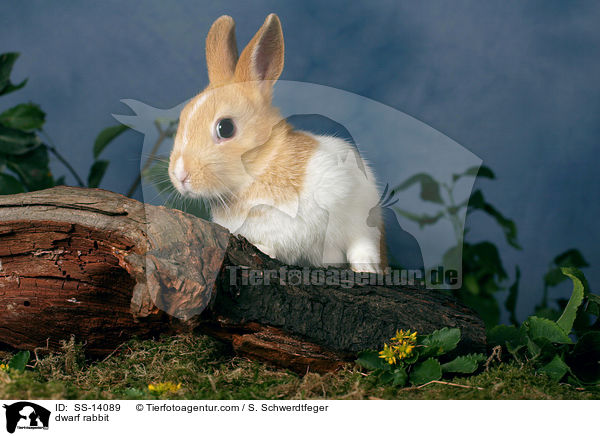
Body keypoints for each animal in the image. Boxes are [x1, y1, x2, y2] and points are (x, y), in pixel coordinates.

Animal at [169, 13, 384, 272]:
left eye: (225, 128)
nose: (180, 175)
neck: (259, 168)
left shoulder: (358, 206)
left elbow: (361, 242)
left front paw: (367, 268)